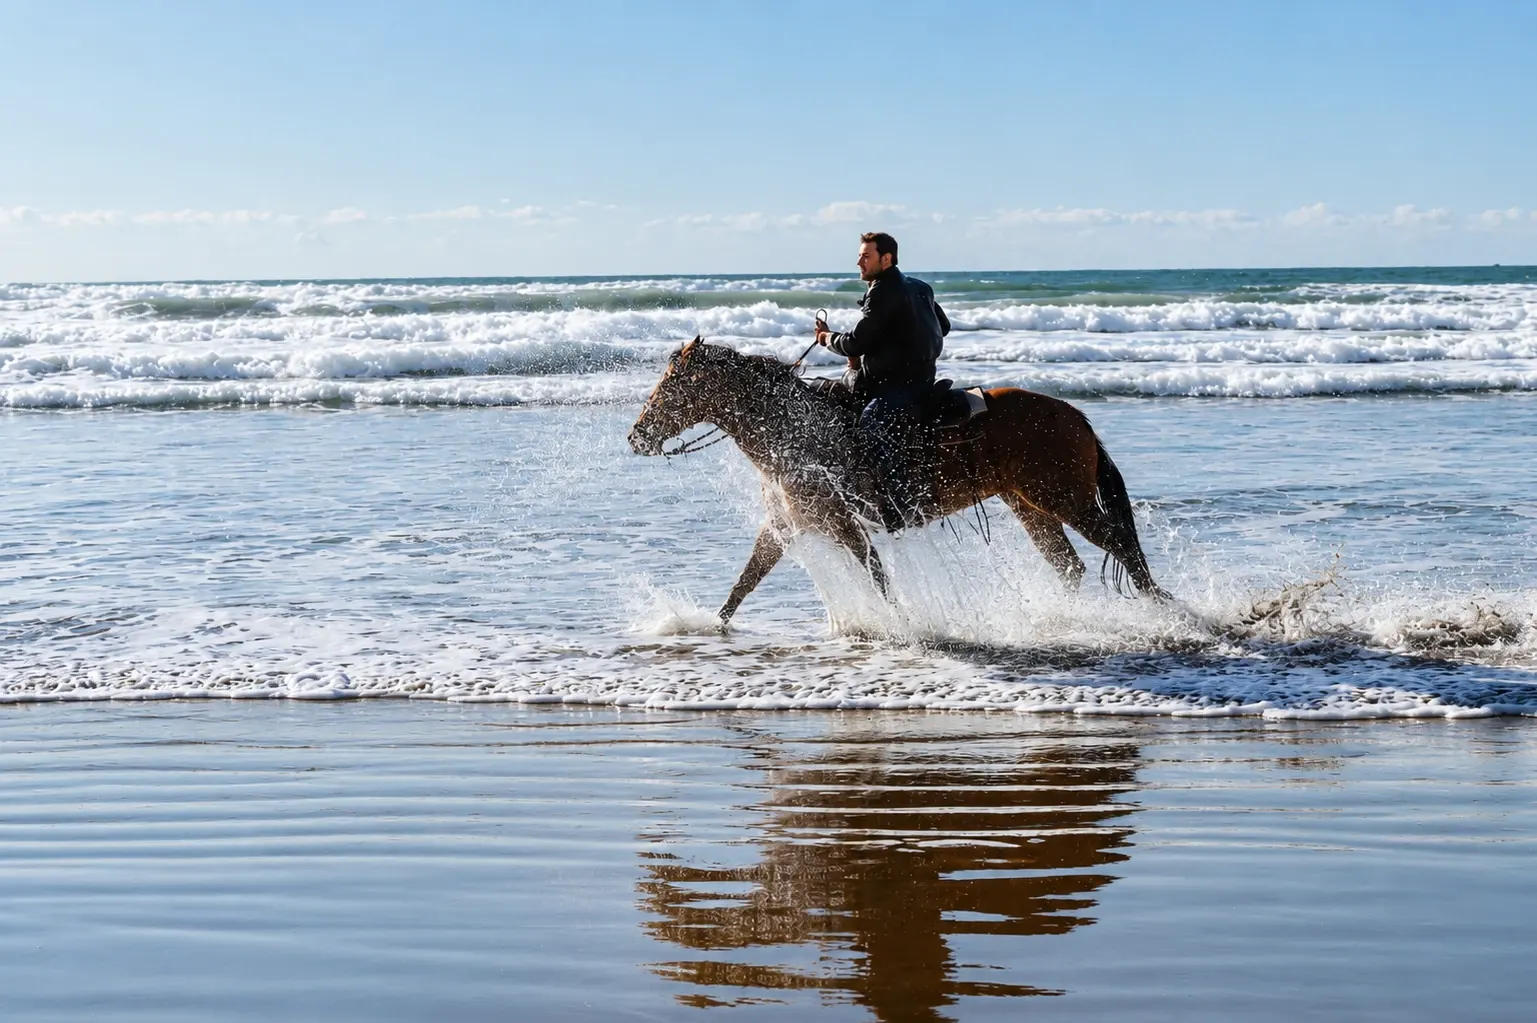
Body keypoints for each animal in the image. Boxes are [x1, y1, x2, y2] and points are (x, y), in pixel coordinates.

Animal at [627, 337, 1167, 625]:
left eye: (670, 385)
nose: (637, 436)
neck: (792, 429)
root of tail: (1075, 416)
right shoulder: (782, 526)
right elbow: (743, 585)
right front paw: (707, 628)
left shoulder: (846, 525)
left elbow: (878, 579)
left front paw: (900, 625)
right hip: (1031, 507)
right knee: (1070, 566)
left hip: (1065, 501)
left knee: (1121, 545)